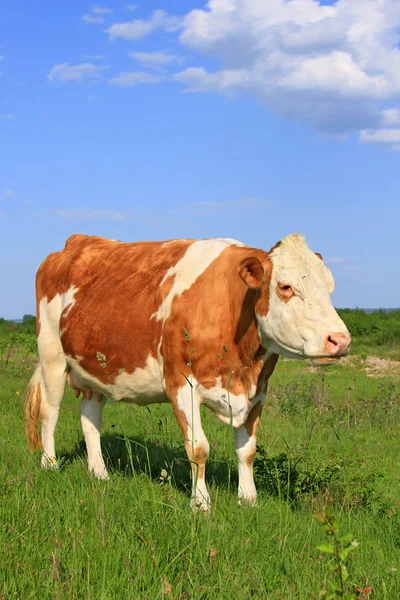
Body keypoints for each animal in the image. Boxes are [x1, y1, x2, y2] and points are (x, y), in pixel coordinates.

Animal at [25, 232, 350, 508]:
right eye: (285, 286)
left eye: (331, 288)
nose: (340, 339)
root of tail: (74, 243)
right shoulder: (181, 383)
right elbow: (198, 448)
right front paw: (201, 504)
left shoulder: (259, 390)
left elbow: (247, 451)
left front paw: (248, 500)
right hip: (51, 353)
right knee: (50, 411)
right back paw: (50, 464)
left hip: (94, 369)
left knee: (90, 418)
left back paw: (99, 474)